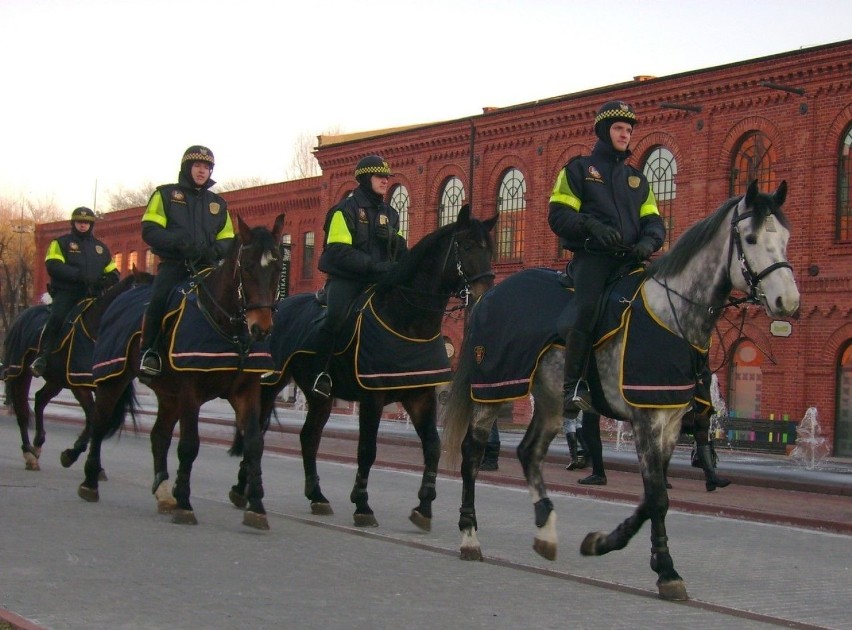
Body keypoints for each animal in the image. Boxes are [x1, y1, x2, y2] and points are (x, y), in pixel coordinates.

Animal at [2, 270, 153, 472]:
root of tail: (21, 315)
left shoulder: (105, 385)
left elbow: (98, 419)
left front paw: (79, 457)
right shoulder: (79, 384)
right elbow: (93, 416)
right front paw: (71, 454)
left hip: (56, 380)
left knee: (40, 399)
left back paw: (38, 443)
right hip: (20, 373)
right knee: (22, 412)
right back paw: (29, 454)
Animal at [77, 215, 282, 532]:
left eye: (278, 266)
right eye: (247, 266)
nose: (261, 327)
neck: (228, 330)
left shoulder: (246, 391)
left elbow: (253, 445)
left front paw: (257, 507)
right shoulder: (190, 392)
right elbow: (188, 445)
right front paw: (185, 503)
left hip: (168, 394)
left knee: (159, 436)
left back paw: (163, 492)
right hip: (114, 379)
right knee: (99, 423)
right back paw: (89, 481)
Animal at [238, 209, 492, 532]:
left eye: (491, 249)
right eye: (468, 246)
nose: (486, 293)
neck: (407, 322)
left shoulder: (420, 396)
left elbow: (432, 446)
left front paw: (424, 506)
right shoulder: (373, 397)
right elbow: (367, 450)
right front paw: (362, 504)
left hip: (319, 397)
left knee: (309, 437)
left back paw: (317, 496)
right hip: (271, 383)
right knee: (256, 428)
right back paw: (242, 489)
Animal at [440, 183, 800, 604]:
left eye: (786, 238)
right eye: (751, 238)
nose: (788, 301)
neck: (672, 314)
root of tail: (487, 298)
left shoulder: (670, 422)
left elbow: (654, 496)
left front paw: (607, 542)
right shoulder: (647, 418)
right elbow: (657, 497)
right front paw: (665, 569)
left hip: (549, 400)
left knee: (529, 452)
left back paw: (545, 530)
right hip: (494, 390)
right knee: (471, 454)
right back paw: (469, 536)